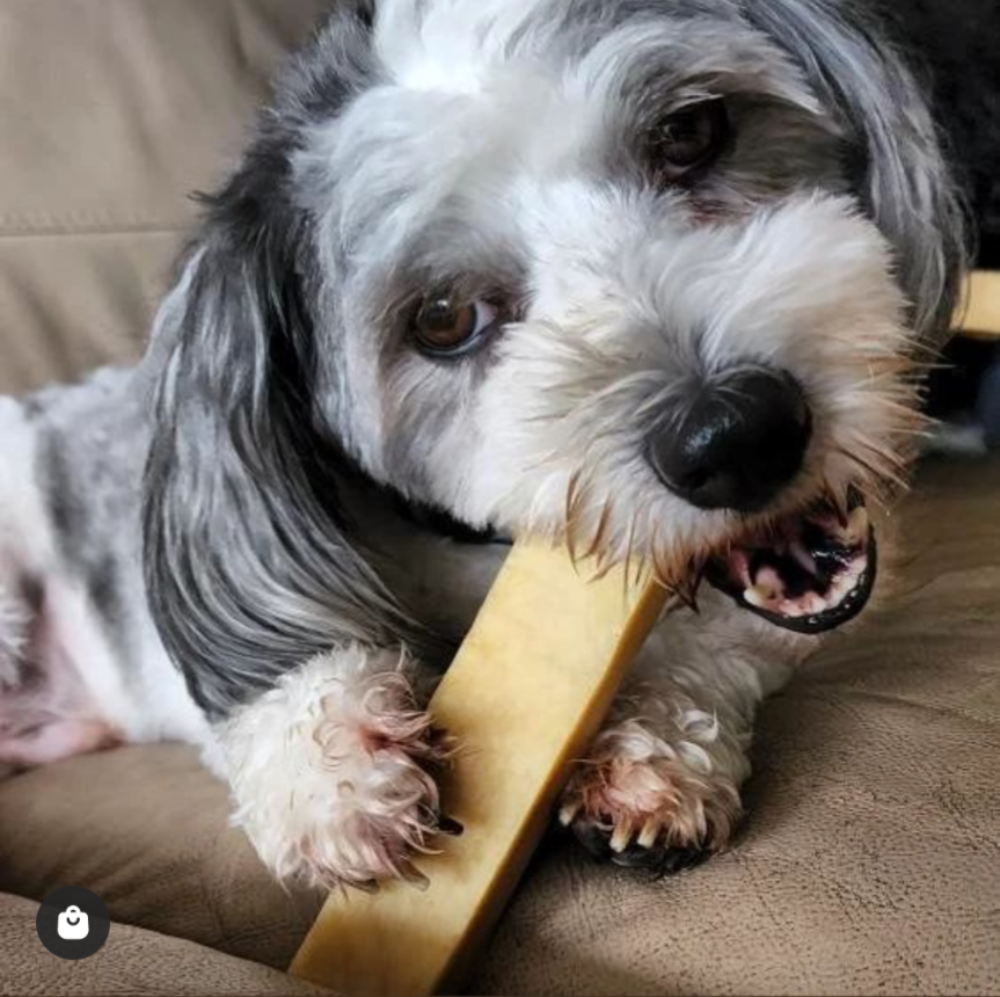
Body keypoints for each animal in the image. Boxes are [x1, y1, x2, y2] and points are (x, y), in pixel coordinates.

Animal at [0, 0, 968, 888]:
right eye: (442, 319)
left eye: (692, 132)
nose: (737, 435)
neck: (482, 556)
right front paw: (332, 760)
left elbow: (722, 649)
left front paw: (654, 745)